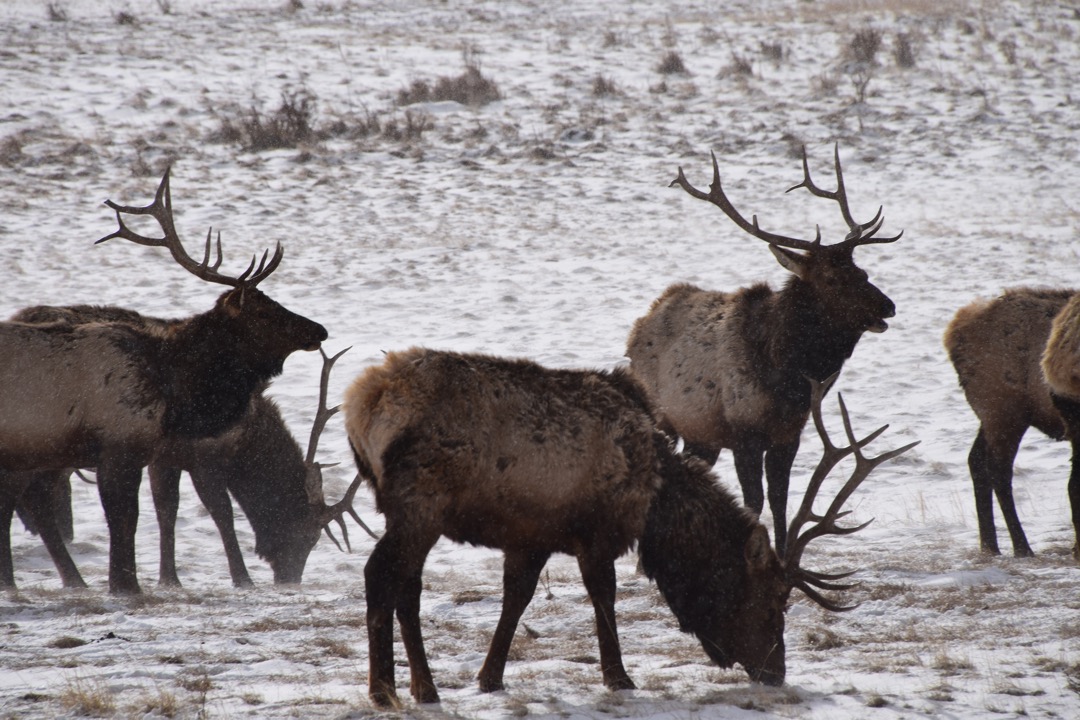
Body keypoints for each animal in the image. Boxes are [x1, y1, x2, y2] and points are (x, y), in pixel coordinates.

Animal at [0, 171, 328, 595]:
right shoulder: (130, 447)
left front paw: (156, 580)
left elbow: (157, 513)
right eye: (263, 311)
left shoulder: (153, 453)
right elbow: (143, 518)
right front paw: (128, 585)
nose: (319, 330)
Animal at [341, 349, 915, 708]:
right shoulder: (597, 531)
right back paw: (385, 689)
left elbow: (516, 599)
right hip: (420, 502)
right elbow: (604, 597)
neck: (654, 502)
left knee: (406, 585)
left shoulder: (530, 533)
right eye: (775, 601)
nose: (776, 672)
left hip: (416, 512)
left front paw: (490, 677)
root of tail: (359, 404)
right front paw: (619, 677)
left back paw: (422, 687)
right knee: (379, 575)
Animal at [626, 144, 902, 552]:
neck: (787, 376)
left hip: (700, 437)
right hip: (664, 419)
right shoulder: (744, 433)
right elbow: (753, 502)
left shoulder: (789, 434)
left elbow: (780, 500)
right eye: (832, 278)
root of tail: (641, 323)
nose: (887, 306)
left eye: (862, 271)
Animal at [946, 289, 1080, 561]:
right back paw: (1021, 547)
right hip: (1005, 412)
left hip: (992, 416)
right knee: (998, 469)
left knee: (976, 459)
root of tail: (954, 333)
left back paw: (990, 546)